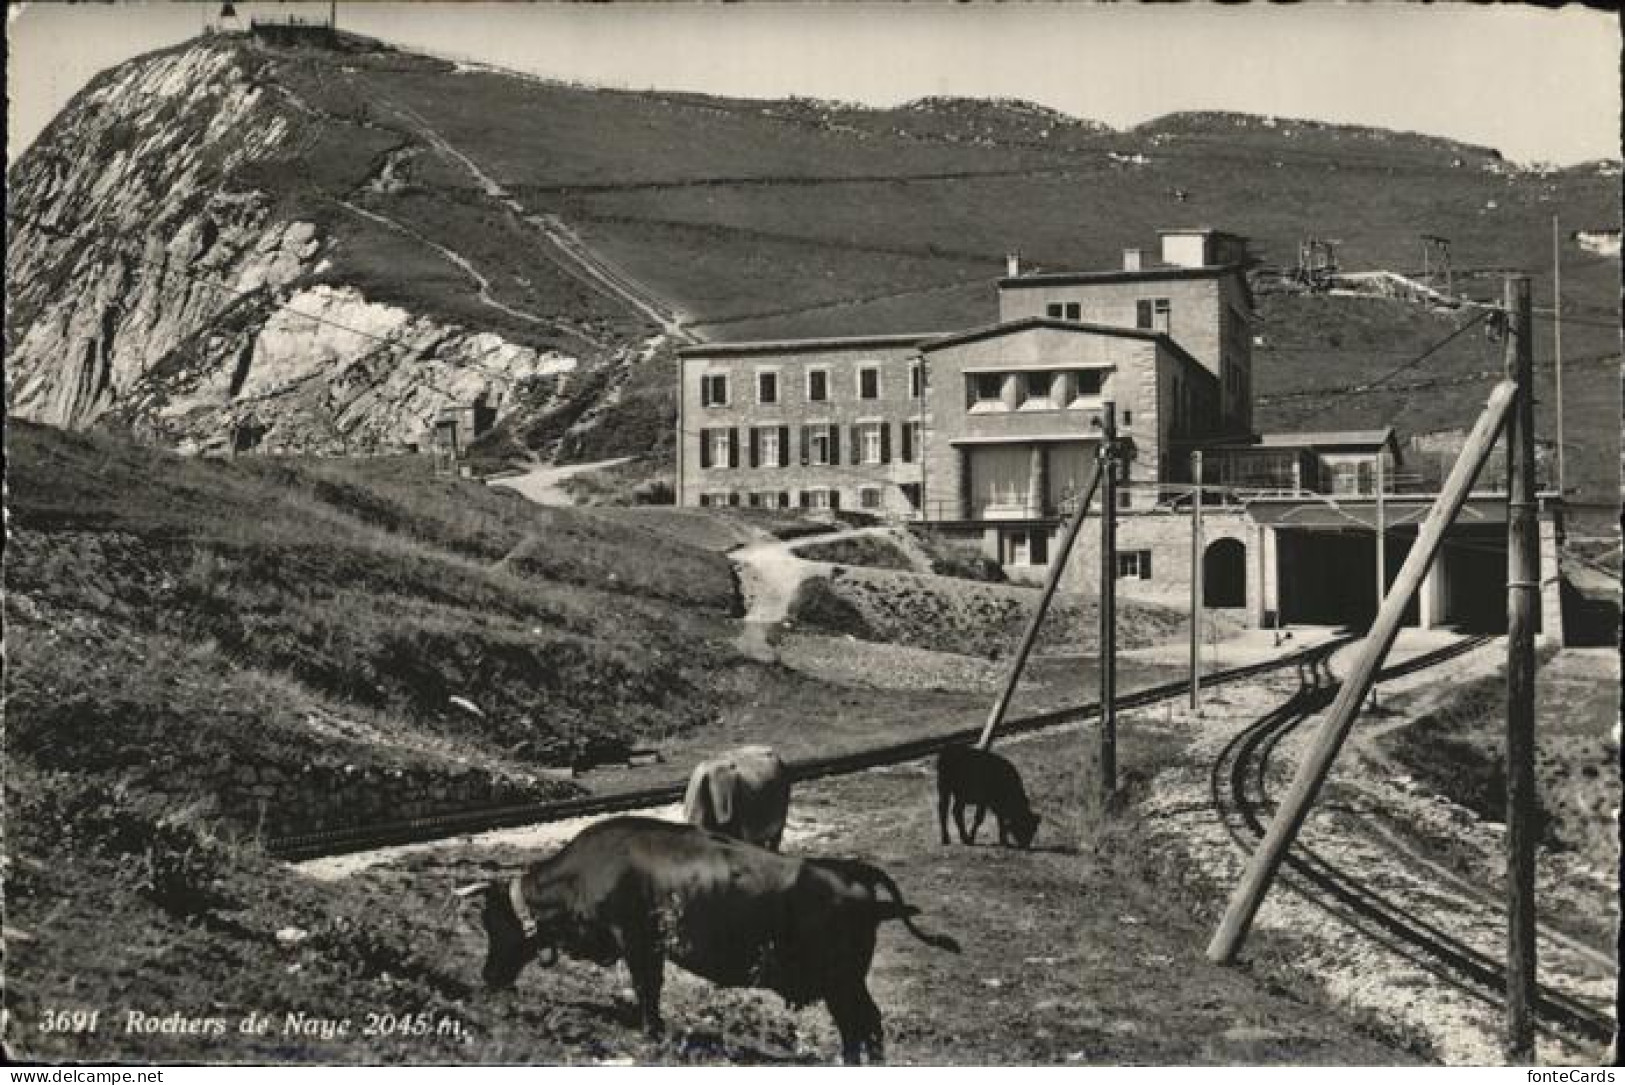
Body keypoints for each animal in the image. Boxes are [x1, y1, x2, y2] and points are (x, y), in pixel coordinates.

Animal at [458, 818, 955, 1065]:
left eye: (491, 920)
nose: (486, 975)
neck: (588, 869)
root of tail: (851, 869)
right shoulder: (651, 947)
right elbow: (651, 989)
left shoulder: (637, 941)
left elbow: (646, 990)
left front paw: (652, 1033)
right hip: (846, 984)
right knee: (862, 1029)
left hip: (841, 982)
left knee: (863, 1028)